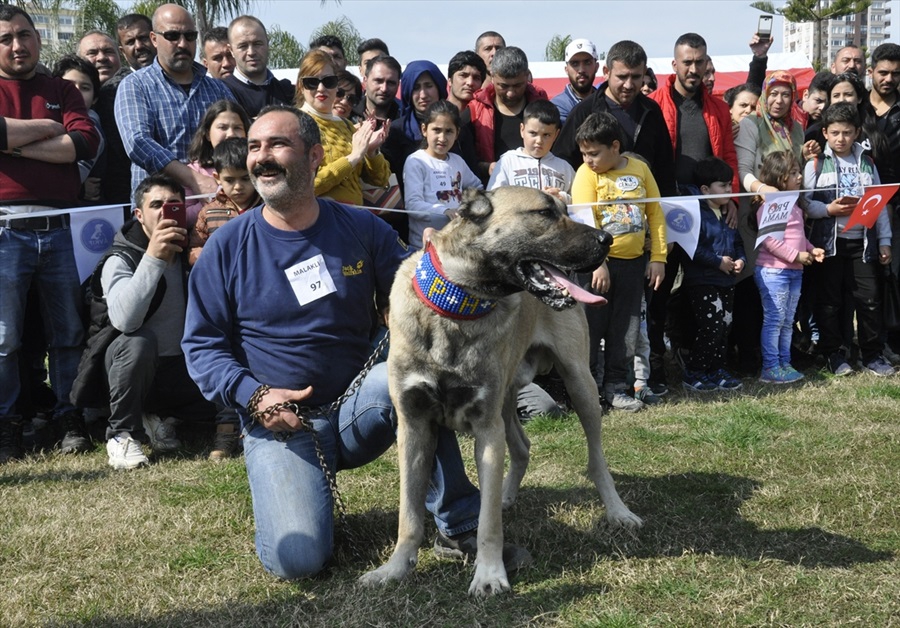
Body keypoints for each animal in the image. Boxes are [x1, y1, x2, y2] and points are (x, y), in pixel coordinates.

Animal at [358, 185, 640, 592]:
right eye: (544, 213)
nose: (608, 239)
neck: (457, 305)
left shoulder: (486, 430)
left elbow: (488, 521)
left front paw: (490, 574)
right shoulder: (414, 426)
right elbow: (408, 514)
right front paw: (394, 568)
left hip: (580, 385)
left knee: (597, 461)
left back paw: (618, 511)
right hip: (508, 400)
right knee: (522, 447)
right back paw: (507, 494)